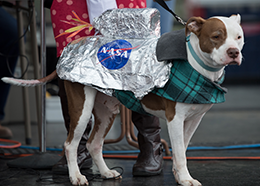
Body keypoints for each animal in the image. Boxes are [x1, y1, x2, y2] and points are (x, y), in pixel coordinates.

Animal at [2, 14, 244, 186]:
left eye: (239, 37)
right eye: (216, 36)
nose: (234, 52)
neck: (197, 66)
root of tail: (73, 45)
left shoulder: (193, 119)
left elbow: (181, 149)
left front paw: (178, 175)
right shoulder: (175, 119)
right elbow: (180, 153)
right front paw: (185, 179)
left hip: (107, 111)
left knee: (93, 143)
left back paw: (106, 172)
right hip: (81, 108)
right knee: (71, 144)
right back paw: (76, 176)